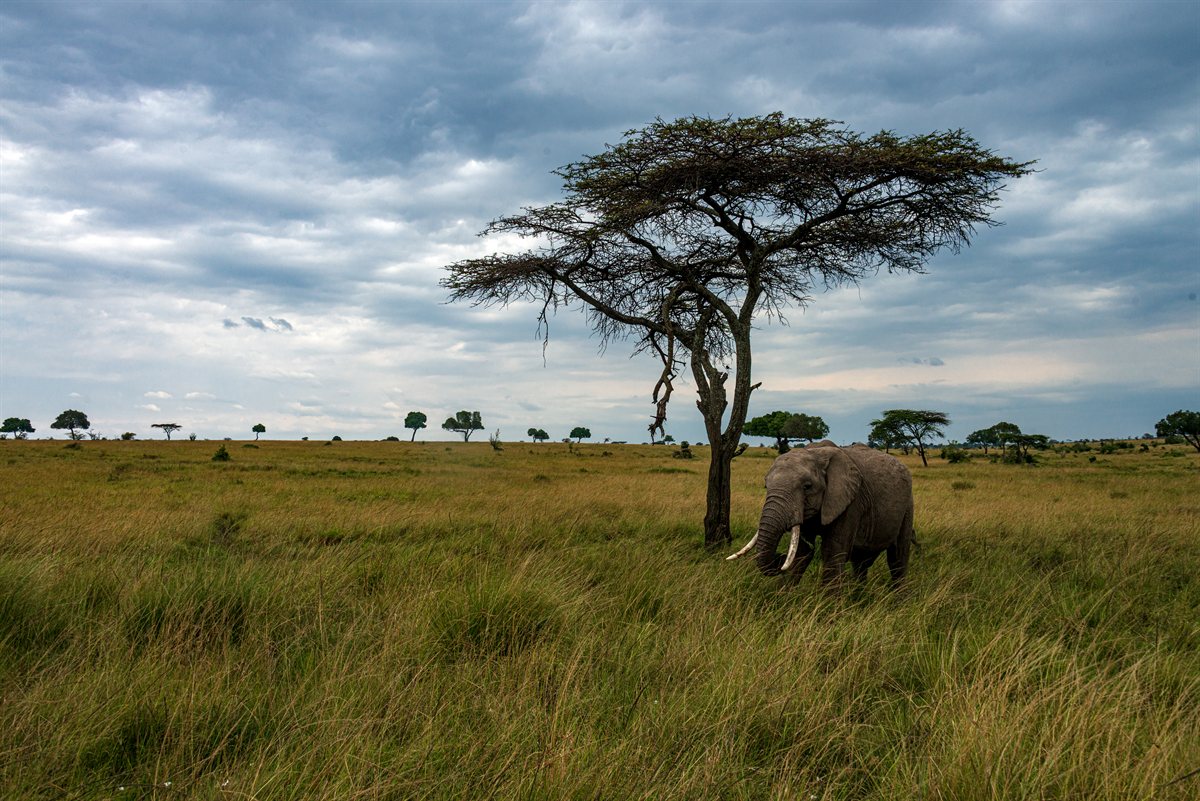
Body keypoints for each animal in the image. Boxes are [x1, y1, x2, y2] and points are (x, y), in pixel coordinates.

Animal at [728, 440, 914, 586]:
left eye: (807, 487)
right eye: (766, 486)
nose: (779, 557)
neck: (816, 453)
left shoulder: (850, 502)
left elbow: (832, 552)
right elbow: (801, 553)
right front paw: (784, 598)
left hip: (908, 506)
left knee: (898, 558)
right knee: (861, 562)